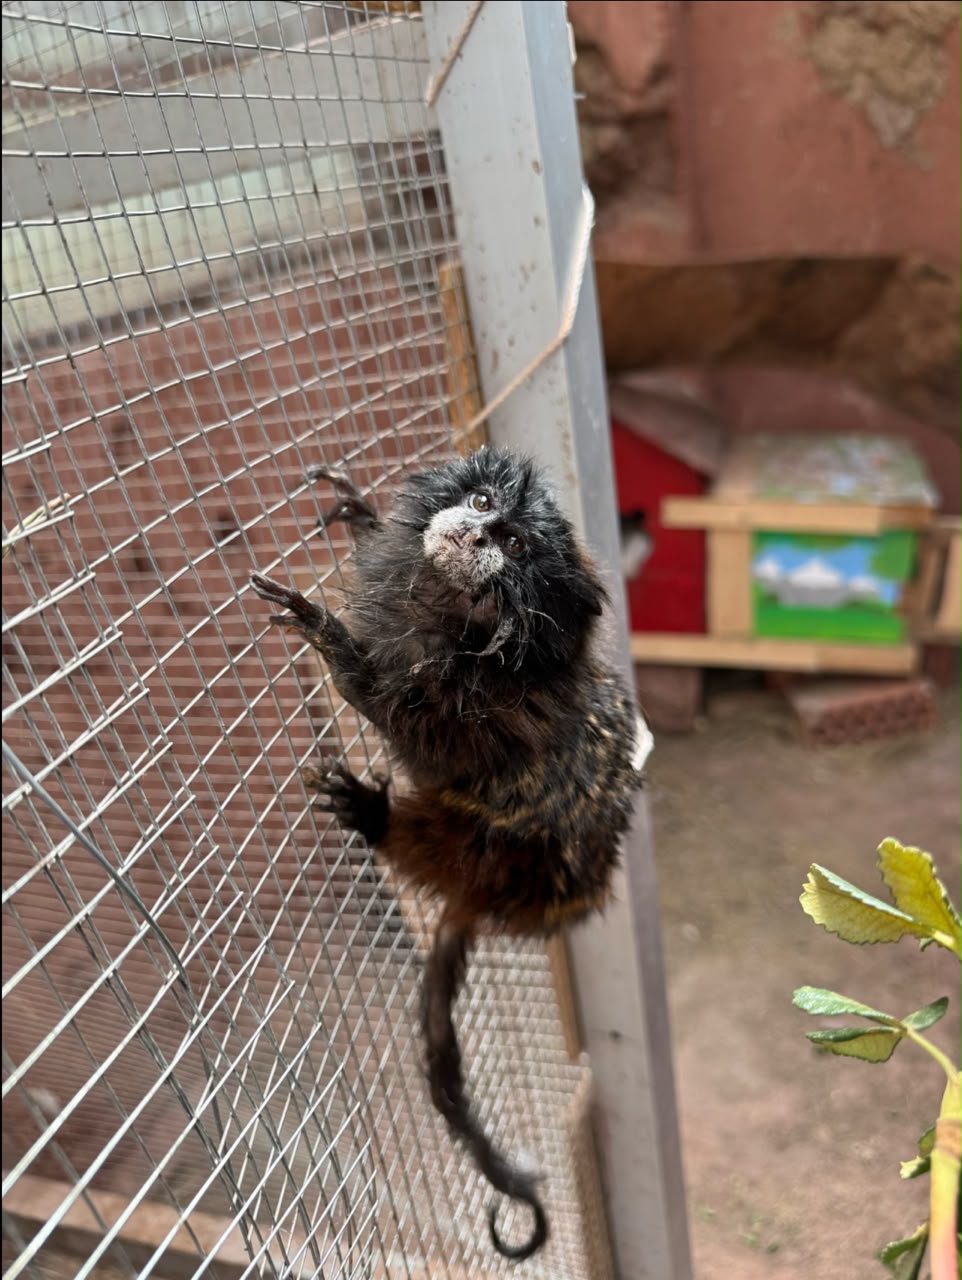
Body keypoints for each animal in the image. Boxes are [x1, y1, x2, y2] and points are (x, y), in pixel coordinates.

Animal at [250, 446, 648, 1261]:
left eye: (516, 547)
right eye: (485, 501)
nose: (476, 534)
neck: (459, 616)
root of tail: (496, 903)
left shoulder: (468, 711)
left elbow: (404, 726)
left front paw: (328, 634)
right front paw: (365, 515)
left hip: (500, 858)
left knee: (453, 825)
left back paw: (376, 819)